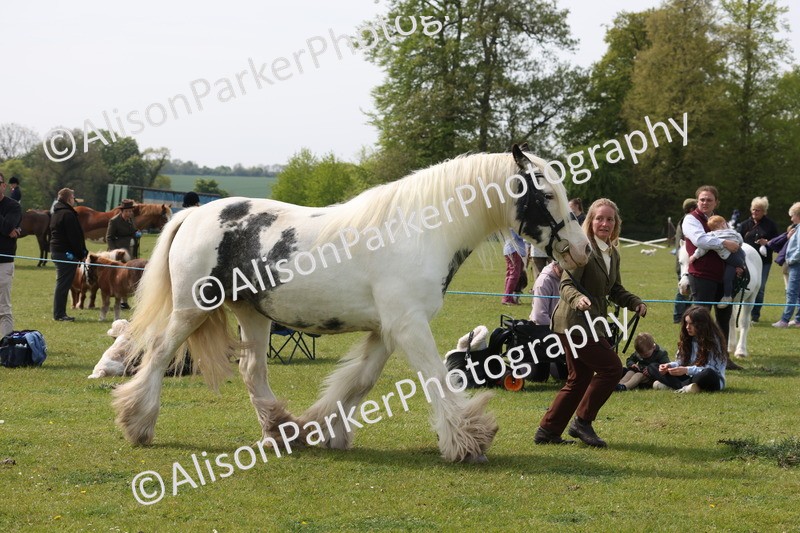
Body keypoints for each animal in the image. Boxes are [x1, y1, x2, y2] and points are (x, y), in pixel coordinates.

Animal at [112, 146, 591, 463]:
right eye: (547, 195)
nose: (583, 249)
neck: (422, 231)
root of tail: (193, 214)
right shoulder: (408, 326)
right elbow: (436, 378)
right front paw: (468, 440)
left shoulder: (386, 331)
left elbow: (358, 381)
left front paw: (324, 429)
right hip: (192, 309)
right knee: (158, 354)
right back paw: (138, 424)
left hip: (252, 314)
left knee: (252, 371)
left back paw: (281, 431)